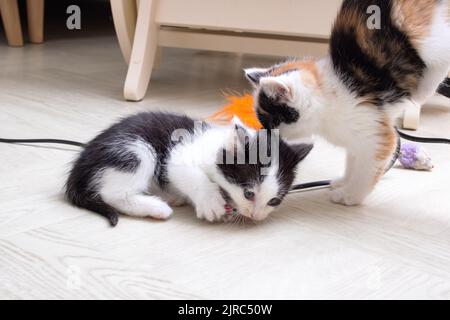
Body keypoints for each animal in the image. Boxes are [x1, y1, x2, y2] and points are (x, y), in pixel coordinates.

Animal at [66, 111, 312, 226]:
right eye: (248, 194)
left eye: (274, 201)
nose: (256, 216)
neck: (216, 145)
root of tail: (82, 160)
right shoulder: (178, 153)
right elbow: (191, 174)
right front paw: (211, 202)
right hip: (135, 149)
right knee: (112, 194)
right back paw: (157, 207)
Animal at [244, 0, 450, 205]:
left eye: (272, 122)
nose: (267, 135)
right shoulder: (357, 137)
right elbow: (353, 160)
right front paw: (344, 181)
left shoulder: (375, 134)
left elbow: (366, 169)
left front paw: (351, 195)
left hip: (422, 31)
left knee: (441, 55)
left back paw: (424, 89)